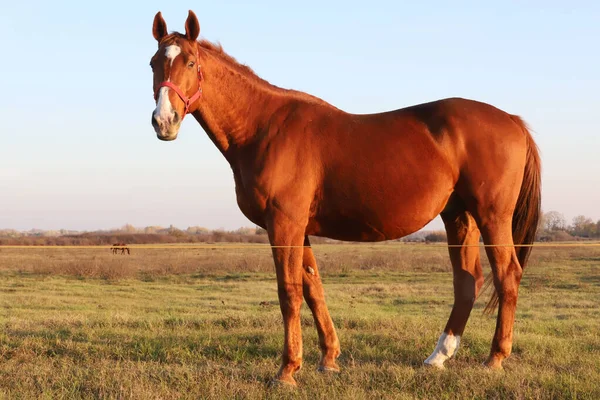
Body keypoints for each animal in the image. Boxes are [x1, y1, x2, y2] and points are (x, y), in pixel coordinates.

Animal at [148, 9, 540, 384]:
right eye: (153, 63)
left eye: (191, 63)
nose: (163, 121)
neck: (265, 128)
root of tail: (512, 120)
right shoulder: (300, 228)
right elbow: (313, 288)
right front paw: (328, 360)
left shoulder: (284, 224)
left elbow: (289, 292)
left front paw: (287, 371)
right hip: (459, 216)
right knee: (467, 282)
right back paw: (438, 357)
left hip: (491, 216)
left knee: (507, 275)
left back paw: (494, 359)